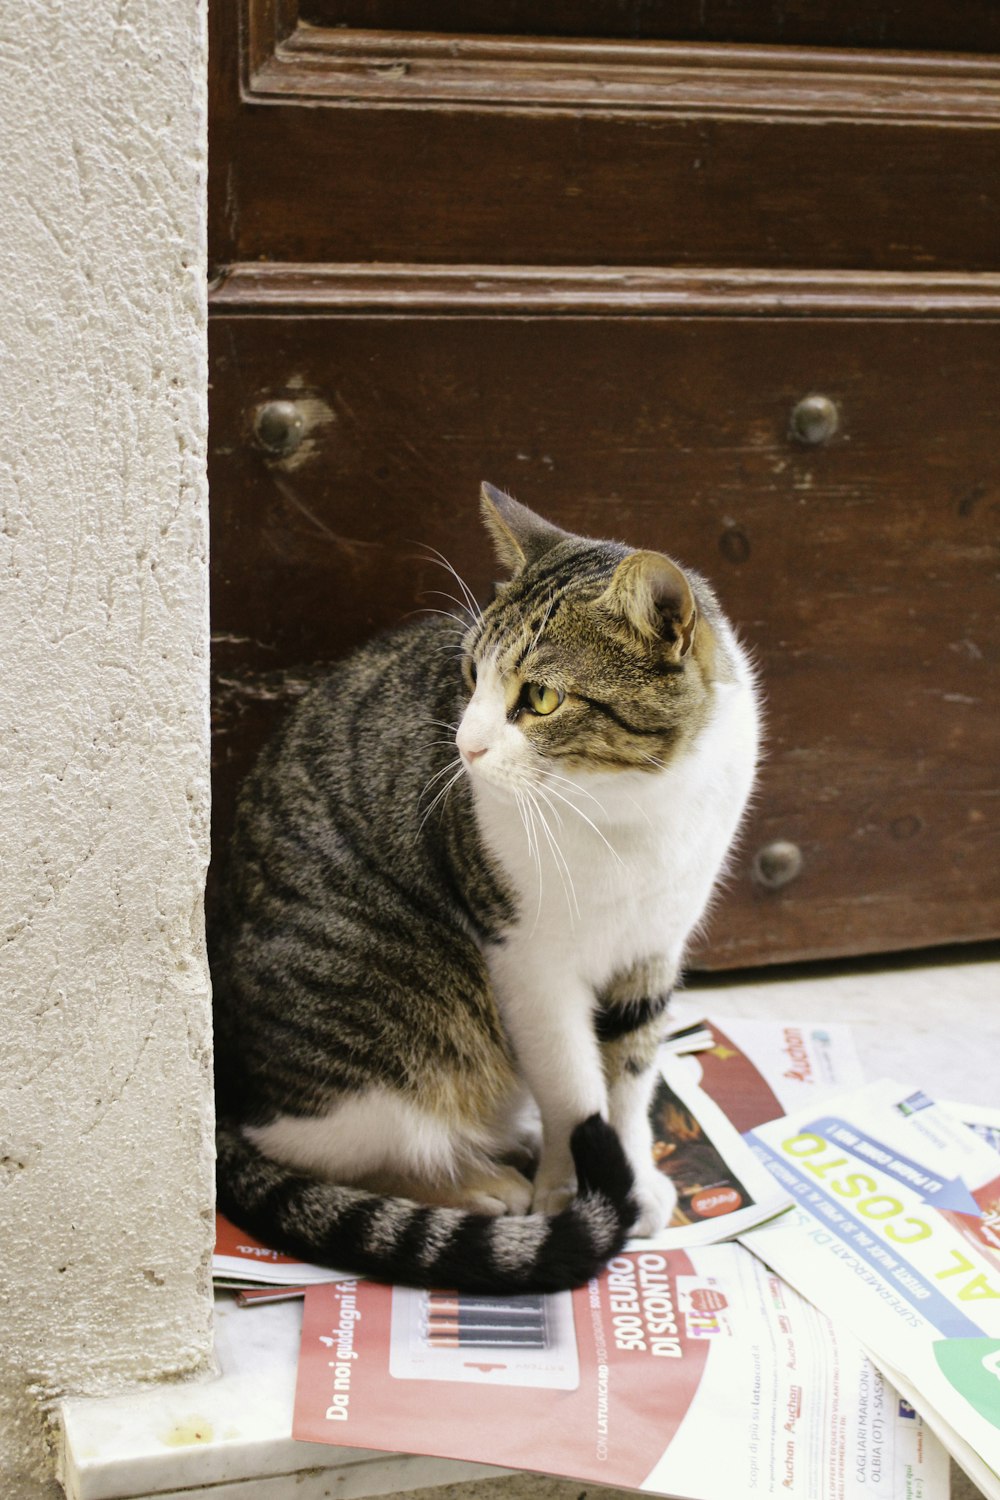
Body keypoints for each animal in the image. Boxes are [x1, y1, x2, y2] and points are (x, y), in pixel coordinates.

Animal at [211, 489, 758, 1290]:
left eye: (542, 697)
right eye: (469, 675)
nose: (464, 746)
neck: (627, 807)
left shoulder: (653, 947)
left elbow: (629, 1079)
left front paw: (633, 1178)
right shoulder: (527, 961)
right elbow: (573, 1090)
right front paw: (571, 1192)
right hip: (393, 1012)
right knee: (335, 1148)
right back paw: (478, 1184)